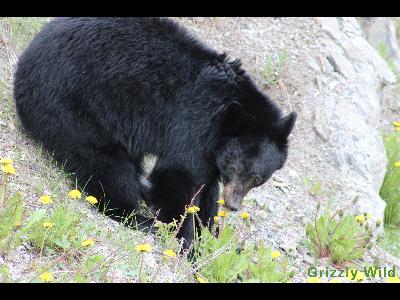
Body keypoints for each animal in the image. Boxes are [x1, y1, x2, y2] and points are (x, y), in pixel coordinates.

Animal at [14, 18, 296, 248]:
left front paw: (209, 236)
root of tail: (26, 58)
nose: (233, 205)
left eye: (258, 178)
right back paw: (138, 217)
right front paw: (187, 241)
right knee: (105, 165)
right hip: (74, 107)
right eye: (235, 167)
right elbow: (177, 177)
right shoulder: (193, 123)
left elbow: (206, 188)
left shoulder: (210, 148)